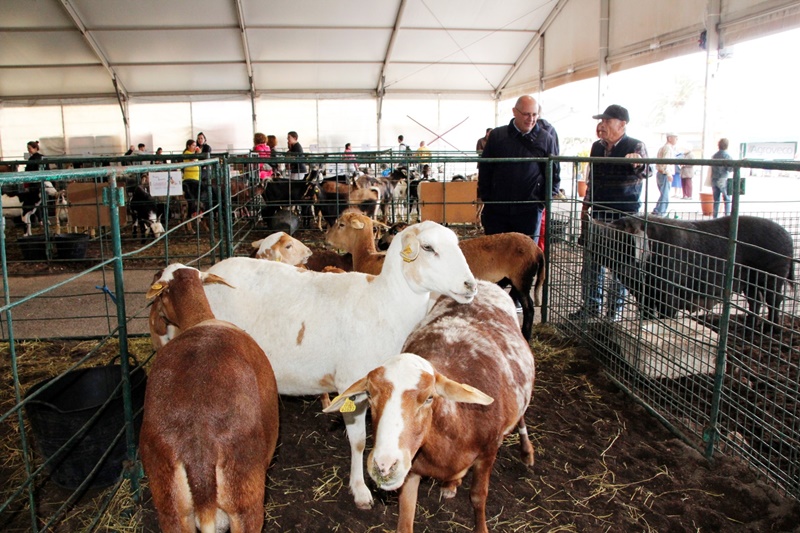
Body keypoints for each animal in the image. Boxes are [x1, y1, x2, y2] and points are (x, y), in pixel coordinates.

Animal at [179, 221, 476, 509]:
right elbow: (358, 442)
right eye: (427, 247)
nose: (471, 285)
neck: (384, 303)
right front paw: (360, 490)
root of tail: (210, 271)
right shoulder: (353, 385)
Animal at [324, 280, 535, 533]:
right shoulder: (411, 470)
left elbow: (478, 496)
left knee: (521, 416)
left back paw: (526, 451)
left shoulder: (488, 451)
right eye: (369, 394)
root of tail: (486, 283)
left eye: (429, 398)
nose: (384, 466)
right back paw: (451, 483)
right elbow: (405, 519)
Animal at [332, 214, 545, 340]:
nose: (381, 244)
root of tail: (537, 250)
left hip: (522, 278)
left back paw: (527, 334)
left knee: (529, 308)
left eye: (393, 231)